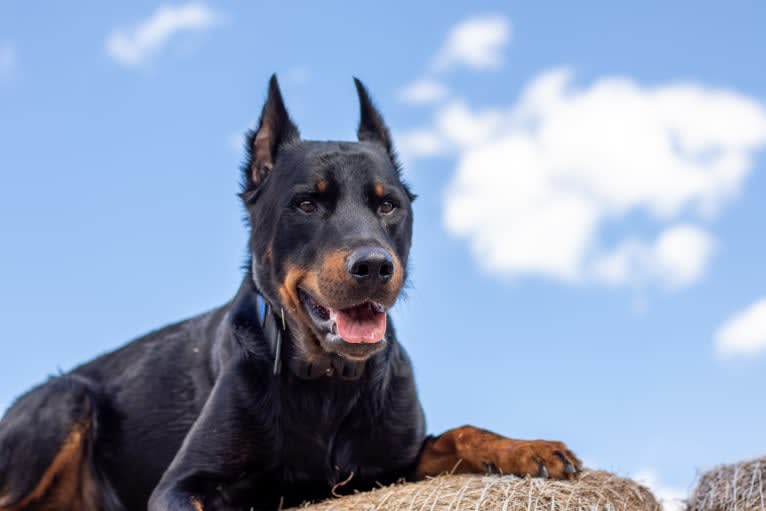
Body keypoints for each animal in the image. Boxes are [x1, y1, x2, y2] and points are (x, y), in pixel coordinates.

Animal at [0, 77, 580, 511]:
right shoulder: (180, 485)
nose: (374, 266)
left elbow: (459, 432)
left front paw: (527, 449)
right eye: (306, 204)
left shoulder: (390, 465)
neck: (327, 384)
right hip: (64, 400)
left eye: (387, 204)